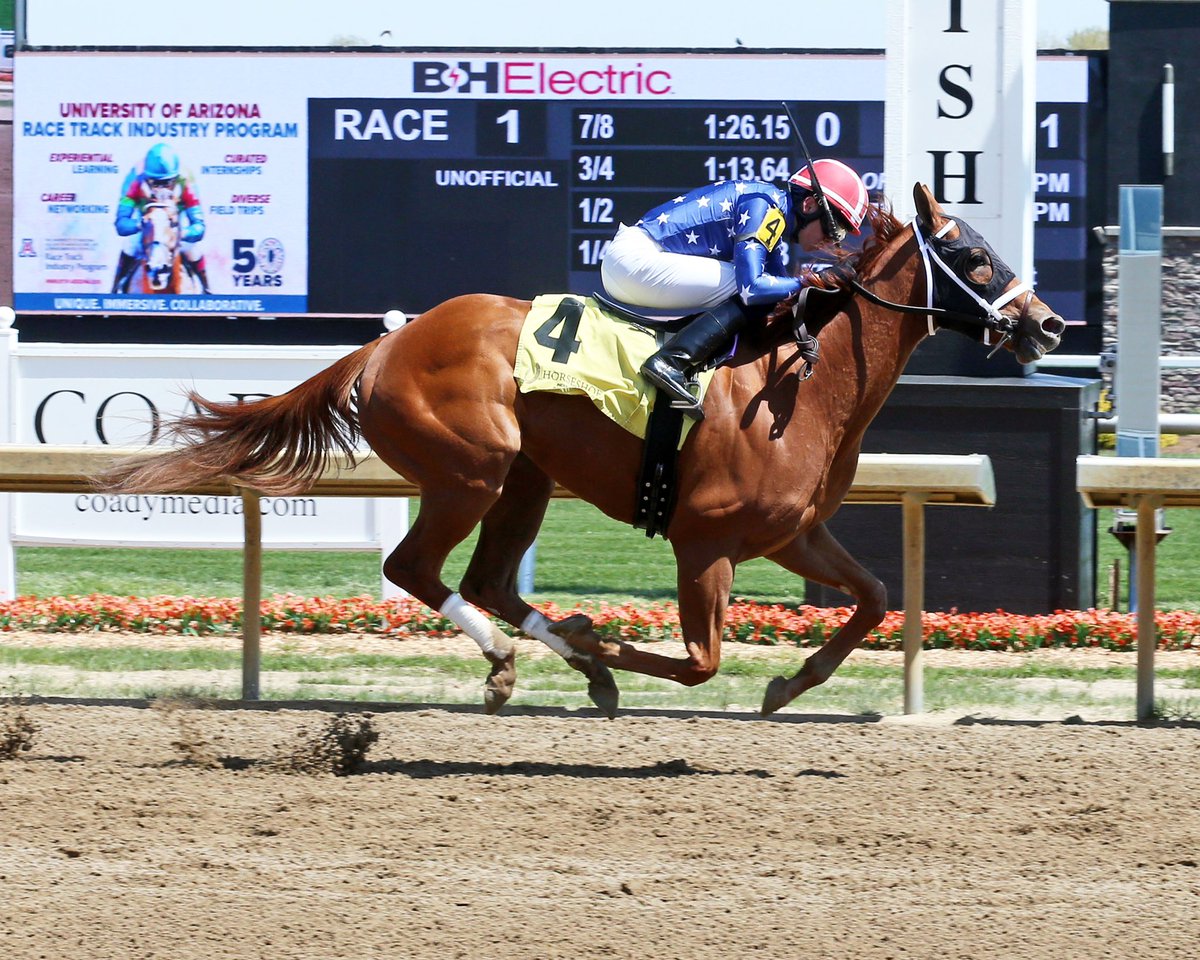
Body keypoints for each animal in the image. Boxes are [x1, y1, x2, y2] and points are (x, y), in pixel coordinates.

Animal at [98, 186, 1065, 710]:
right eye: (974, 258)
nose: (1048, 324)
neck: (797, 379)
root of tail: (385, 343)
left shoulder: (791, 532)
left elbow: (875, 599)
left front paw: (790, 684)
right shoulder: (704, 541)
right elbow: (700, 661)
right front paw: (593, 638)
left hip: (525, 477)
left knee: (485, 579)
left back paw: (528, 654)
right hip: (472, 470)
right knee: (414, 569)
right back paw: (522, 653)